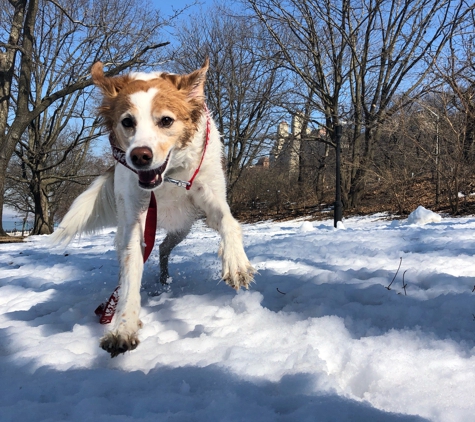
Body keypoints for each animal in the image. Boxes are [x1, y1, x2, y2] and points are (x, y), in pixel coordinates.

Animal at [52, 58, 256, 356]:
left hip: (182, 228)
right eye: (127, 122)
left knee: (163, 248)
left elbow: (229, 221)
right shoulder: (134, 221)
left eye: (166, 120)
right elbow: (130, 276)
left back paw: (166, 277)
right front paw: (123, 327)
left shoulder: (209, 193)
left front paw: (236, 263)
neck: (168, 176)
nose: (139, 156)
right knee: (143, 254)